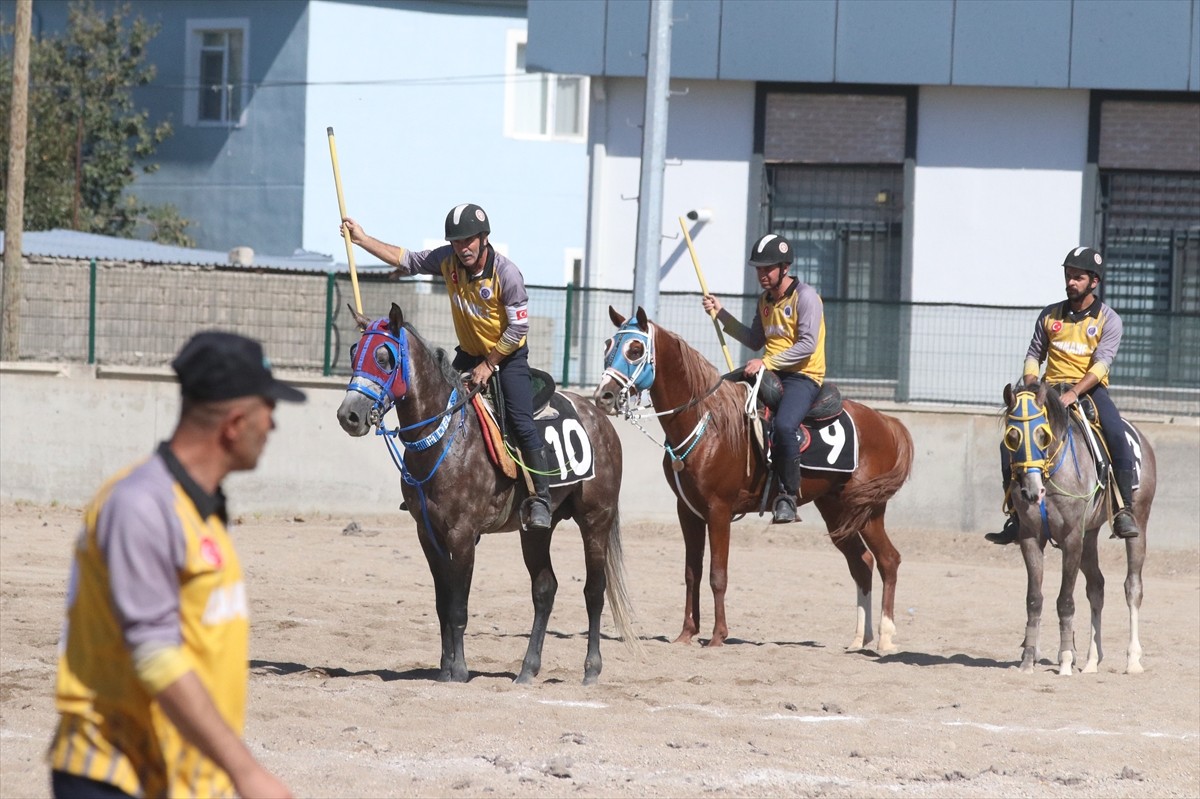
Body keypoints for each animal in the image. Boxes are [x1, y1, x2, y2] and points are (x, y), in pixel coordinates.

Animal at [338, 302, 638, 681]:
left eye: (384, 357)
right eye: (353, 353)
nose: (349, 414)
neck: (447, 436)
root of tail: (599, 418)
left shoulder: (463, 534)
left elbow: (458, 608)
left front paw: (459, 670)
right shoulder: (428, 534)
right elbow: (443, 603)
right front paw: (444, 669)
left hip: (596, 519)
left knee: (594, 591)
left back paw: (591, 669)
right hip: (536, 530)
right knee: (545, 588)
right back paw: (528, 669)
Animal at [595, 304, 912, 647]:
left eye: (635, 350)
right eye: (607, 346)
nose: (604, 396)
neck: (708, 421)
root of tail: (887, 422)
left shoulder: (719, 511)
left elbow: (717, 575)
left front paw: (718, 636)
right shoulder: (688, 512)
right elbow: (692, 573)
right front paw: (687, 633)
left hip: (869, 512)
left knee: (889, 560)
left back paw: (884, 638)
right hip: (838, 511)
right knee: (862, 563)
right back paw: (858, 639)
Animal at [998, 379, 1156, 671]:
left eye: (1042, 434)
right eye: (1012, 437)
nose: (1031, 492)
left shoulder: (1071, 538)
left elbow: (1065, 601)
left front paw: (1065, 660)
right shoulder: (1030, 537)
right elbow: (1034, 599)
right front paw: (1028, 660)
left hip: (1138, 523)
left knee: (1133, 587)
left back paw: (1133, 660)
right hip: (1089, 535)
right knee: (1096, 587)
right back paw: (1092, 660)